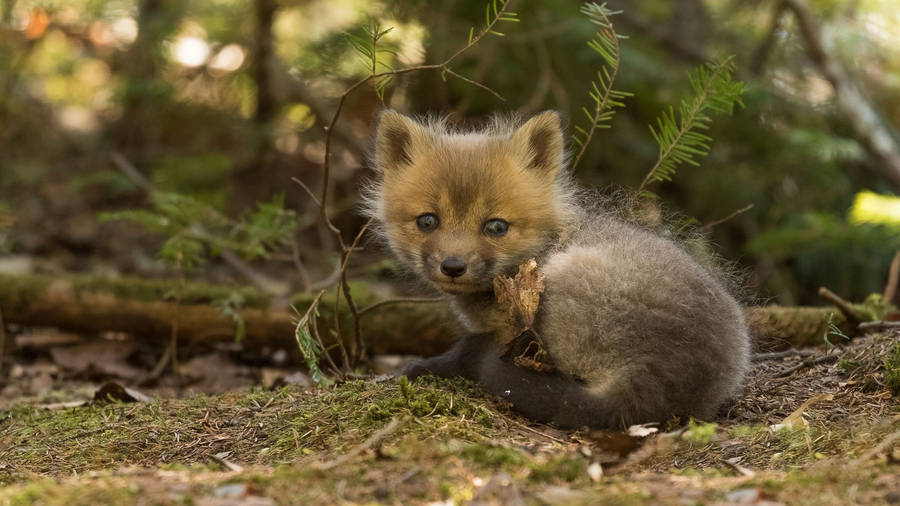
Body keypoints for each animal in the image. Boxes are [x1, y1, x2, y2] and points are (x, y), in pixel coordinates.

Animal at [363, 109, 751, 429]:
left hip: (564, 281)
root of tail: (657, 379)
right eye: (427, 221)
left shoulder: (508, 328)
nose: (453, 266)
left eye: (496, 227)